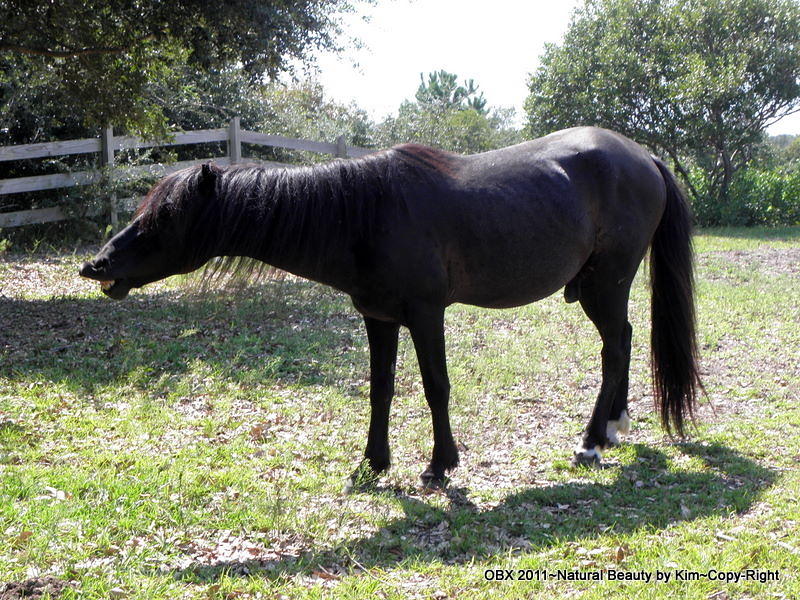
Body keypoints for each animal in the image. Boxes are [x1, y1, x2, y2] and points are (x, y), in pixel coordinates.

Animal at [81, 126, 704, 488]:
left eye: (165, 218)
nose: (98, 264)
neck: (364, 213)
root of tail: (644, 156)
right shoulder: (377, 319)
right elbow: (380, 389)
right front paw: (372, 463)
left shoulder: (426, 315)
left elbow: (435, 387)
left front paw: (439, 465)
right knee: (622, 341)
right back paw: (613, 427)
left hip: (606, 285)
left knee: (615, 347)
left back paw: (593, 439)